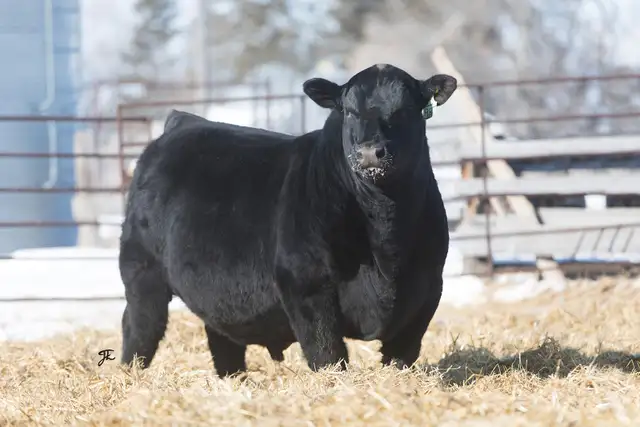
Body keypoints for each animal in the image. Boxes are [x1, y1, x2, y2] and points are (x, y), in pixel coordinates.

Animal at [118, 63, 457, 378]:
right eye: (348, 111)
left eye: (405, 110)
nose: (370, 153)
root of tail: (184, 121)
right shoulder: (304, 283)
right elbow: (327, 353)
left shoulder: (428, 289)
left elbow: (402, 354)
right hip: (142, 271)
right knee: (139, 326)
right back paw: (130, 372)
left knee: (221, 337)